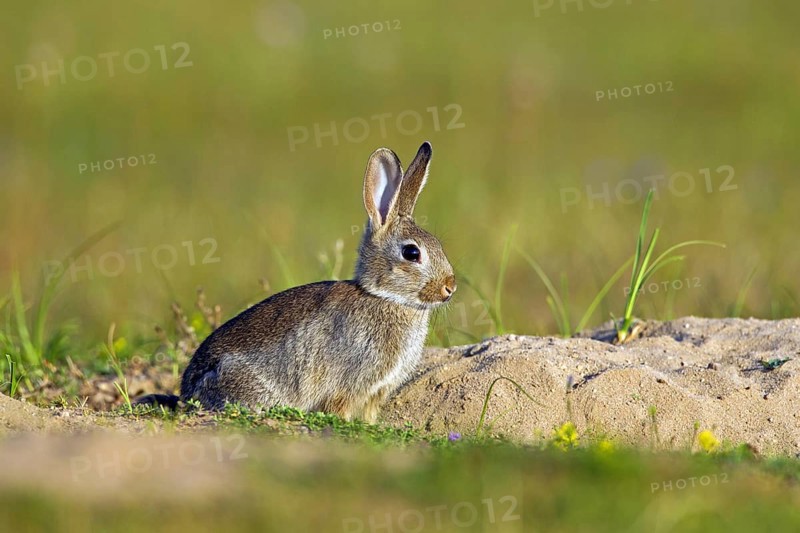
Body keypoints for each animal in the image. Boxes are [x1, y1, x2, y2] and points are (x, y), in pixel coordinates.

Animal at [175, 141, 456, 422]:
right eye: (412, 253)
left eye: (437, 244)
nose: (450, 287)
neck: (384, 296)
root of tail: (188, 390)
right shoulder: (349, 382)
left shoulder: (376, 392)